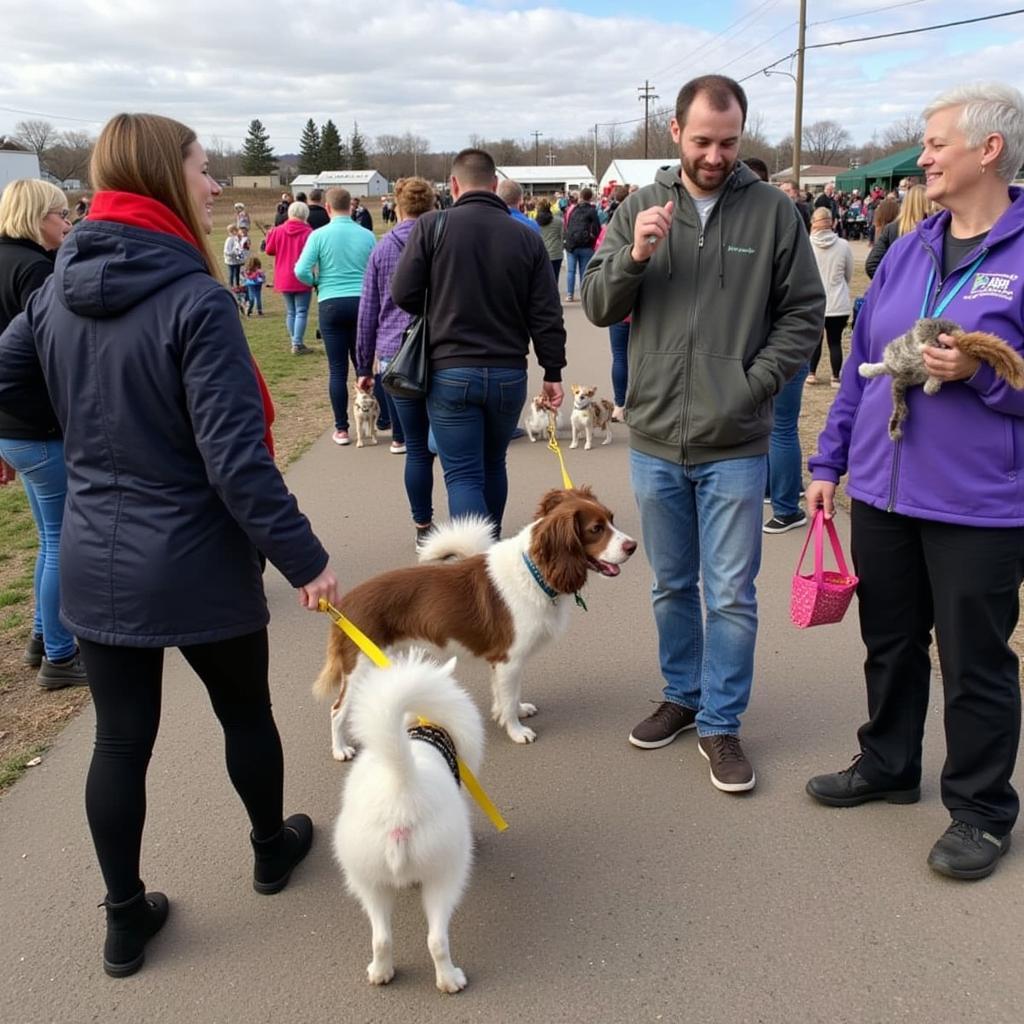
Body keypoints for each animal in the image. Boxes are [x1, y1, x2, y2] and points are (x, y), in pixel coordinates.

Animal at [313, 487, 630, 761]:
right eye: (596, 529)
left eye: (612, 519)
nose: (633, 546)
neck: (534, 572)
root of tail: (343, 604)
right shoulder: (509, 659)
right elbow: (509, 697)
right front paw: (516, 731)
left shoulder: (502, 662)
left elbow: (507, 695)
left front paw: (513, 711)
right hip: (360, 666)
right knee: (337, 710)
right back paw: (340, 749)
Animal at [331, 647, 483, 991]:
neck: (417, 727)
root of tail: (402, 787)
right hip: (445, 875)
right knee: (437, 940)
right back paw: (450, 980)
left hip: (368, 878)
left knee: (381, 938)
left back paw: (381, 972)